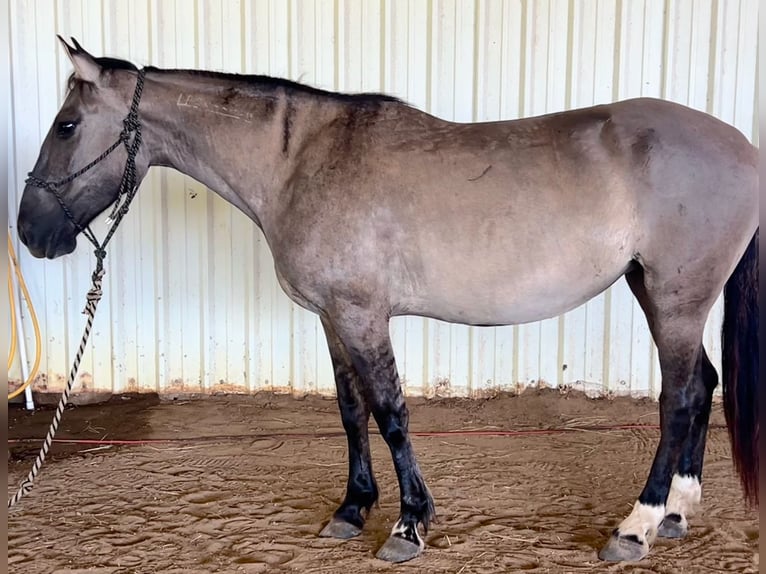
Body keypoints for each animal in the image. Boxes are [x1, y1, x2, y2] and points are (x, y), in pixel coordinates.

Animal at [16, 37, 758, 564]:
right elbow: (351, 413)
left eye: (66, 124)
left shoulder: (363, 315)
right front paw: (351, 510)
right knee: (702, 386)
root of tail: (744, 150)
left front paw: (408, 524)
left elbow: (392, 413)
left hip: (676, 297)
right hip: (655, 291)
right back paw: (677, 514)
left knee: (680, 397)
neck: (300, 162)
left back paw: (637, 526)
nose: (30, 232)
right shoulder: (331, 317)